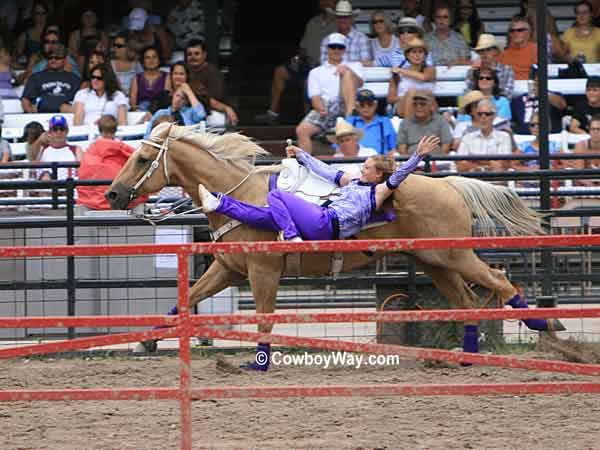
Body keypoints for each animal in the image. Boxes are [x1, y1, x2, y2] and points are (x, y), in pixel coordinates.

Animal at [106, 123, 564, 366]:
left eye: (143, 159)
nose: (112, 193)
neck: (241, 191)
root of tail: (448, 184)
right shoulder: (228, 269)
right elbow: (185, 301)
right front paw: (146, 339)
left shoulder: (263, 271)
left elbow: (265, 317)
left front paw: (261, 360)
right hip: (435, 262)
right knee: (467, 302)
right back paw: (468, 356)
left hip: (454, 255)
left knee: (499, 280)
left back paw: (546, 324)